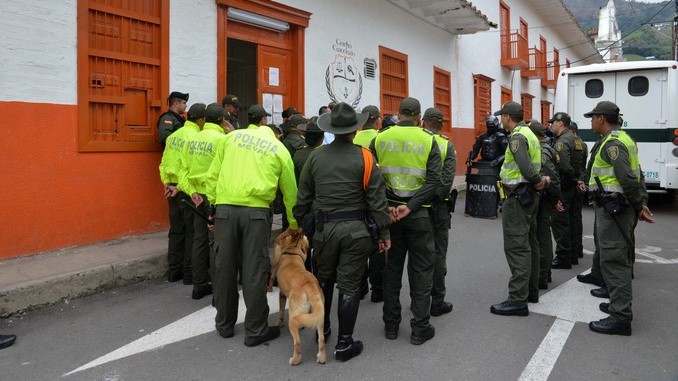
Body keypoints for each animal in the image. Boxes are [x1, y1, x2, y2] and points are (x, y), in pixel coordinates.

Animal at [268, 232, 326, 366]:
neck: (292, 253)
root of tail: (309, 284)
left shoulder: (282, 294)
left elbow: (281, 310)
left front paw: (279, 322)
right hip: (320, 317)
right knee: (322, 339)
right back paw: (322, 358)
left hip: (293, 319)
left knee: (297, 343)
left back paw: (295, 360)